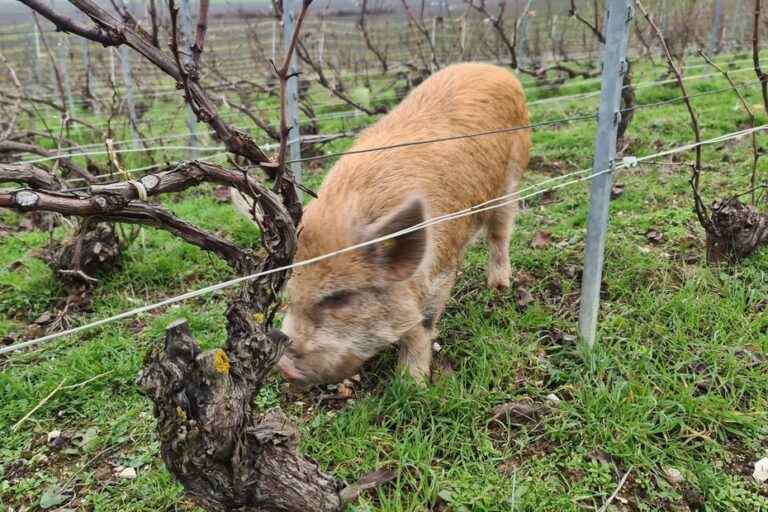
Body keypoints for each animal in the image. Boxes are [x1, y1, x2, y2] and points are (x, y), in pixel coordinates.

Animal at [240, 62, 528, 386]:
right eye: (290, 293)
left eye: (340, 298)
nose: (285, 367)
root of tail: (494, 68)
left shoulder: (441, 270)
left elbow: (422, 325)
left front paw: (411, 383)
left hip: (510, 181)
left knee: (500, 234)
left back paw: (499, 286)